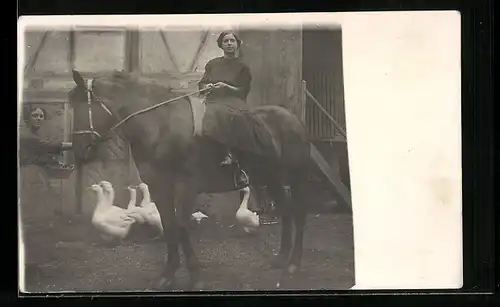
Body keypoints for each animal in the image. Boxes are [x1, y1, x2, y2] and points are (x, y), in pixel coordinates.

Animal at [68, 70, 314, 292]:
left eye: (81, 108)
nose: (79, 151)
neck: (162, 127)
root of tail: (292, 118)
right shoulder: (160, 187)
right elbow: (169, 225)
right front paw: (167, 275)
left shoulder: (187, 187)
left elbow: (182, 225)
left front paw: (195, 277)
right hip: (271, 178)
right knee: (286, 211)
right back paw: (282, 258)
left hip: (297, 177)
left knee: (300, 214)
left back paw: (293, 263)